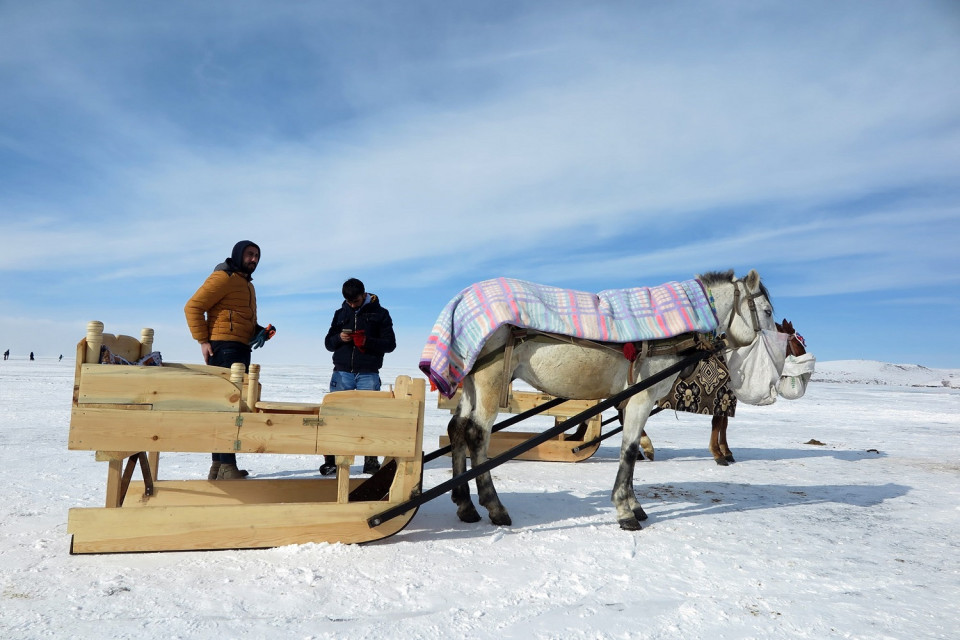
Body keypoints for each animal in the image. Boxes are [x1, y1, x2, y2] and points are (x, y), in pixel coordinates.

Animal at [446, 270, 776, 528]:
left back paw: (465, 504)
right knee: (477, 436)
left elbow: (629, 450)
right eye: (768, 312)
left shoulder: (629, 401)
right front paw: (625, 511)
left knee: (457, 429)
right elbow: (628, 451)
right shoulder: (642, 397)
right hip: (491, 381)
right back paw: (494, 506)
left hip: (472, 384)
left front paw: (635, 505)